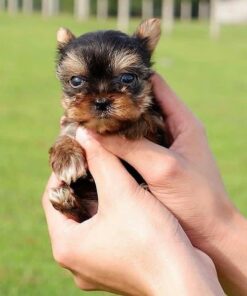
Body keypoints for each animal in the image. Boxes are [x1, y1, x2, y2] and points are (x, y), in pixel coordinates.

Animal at [49, 18, 169, 221]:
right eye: (76, 81)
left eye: (127, 78)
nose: (101, 101)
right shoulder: (71, 122)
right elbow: (68, 131)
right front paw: (66, 156)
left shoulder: (161, 128)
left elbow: (150, 119)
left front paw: (134, 124)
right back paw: (66, 202)